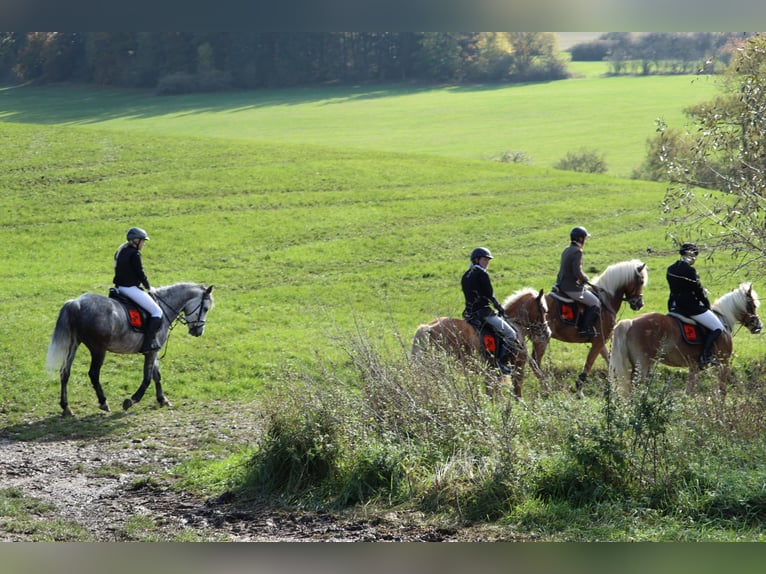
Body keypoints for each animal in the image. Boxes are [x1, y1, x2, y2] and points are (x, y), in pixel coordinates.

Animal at [46, 284, 214, 418]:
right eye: (205, 308)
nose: (198, 332)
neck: (163, 309)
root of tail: (76, 303)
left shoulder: (154, 351)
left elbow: (156, 375)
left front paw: (162, 399)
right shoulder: (151, 352)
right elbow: (147, 378)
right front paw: (131, 400)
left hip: (74, 344)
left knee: (64, 372)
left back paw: (66, 407)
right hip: (98, 349)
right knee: (93, 374)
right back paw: (103, 402)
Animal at [414, 288, 552, 400]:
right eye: (544, 310)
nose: (547, 332)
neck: (515, 325)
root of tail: (429, 327)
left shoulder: (492, 372)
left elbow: (493, 393)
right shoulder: (518, 368)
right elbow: (517, 393)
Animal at [532, 262, 652, 400]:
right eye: (641, 281)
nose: (640, 304)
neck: (606, 300)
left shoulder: (601, 341)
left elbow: (610, 361)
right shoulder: (598, 342)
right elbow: (589, 364)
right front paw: (579, 391)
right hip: (542, 340)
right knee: (534, 363)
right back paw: (546, 389)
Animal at [612, 282, 760, 398]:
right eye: (753, 305)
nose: (758, 326)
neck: (723, 319)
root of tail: (631, 322)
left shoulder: (694, 367)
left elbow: (689, 392)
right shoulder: (724, 362)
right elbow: (722, 391)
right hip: (642, 365)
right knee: (634, 391)